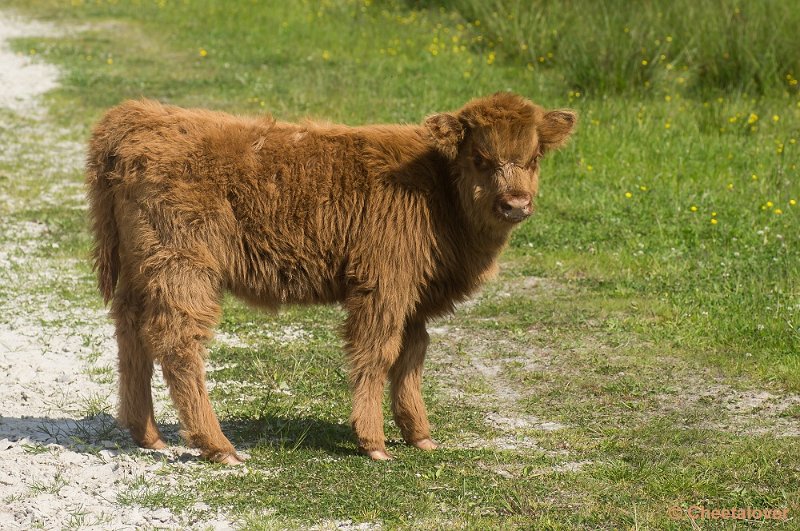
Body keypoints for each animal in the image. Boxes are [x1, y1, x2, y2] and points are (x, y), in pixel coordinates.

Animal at [86, 93, 576, 464]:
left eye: (534, 157)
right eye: (480, 158)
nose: (516, 204)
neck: (436, 189)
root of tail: (139, 115)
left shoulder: (413, 298)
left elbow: (411, 355)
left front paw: (419, 434)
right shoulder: (382, 286)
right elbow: (378, 353)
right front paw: (374, 443)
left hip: (142, 271)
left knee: (131, 334)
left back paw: (148, 434)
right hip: (183, 268)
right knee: (178, 344)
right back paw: (219, 446)